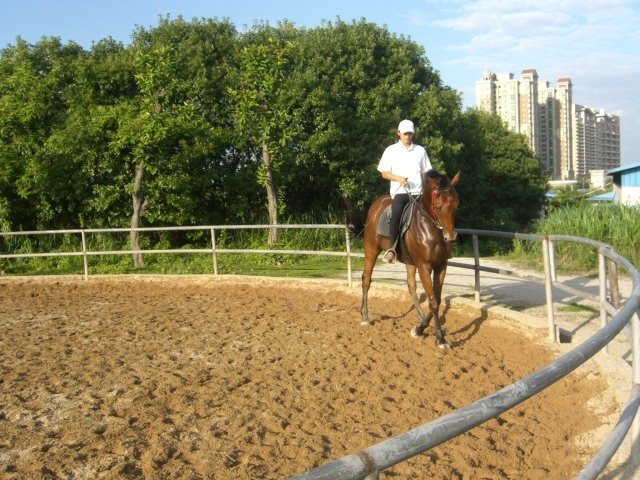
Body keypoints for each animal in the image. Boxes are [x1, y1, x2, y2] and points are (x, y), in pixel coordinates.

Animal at [360, 170, 460, 348]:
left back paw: (420, 316)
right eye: (438, 206)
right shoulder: (424, 266)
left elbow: (436, 299)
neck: (430, 229)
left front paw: (421, 327)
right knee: (366, 279)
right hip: (371, 250)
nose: (450, 237)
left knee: (411, 286)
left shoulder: (441, 266)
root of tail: (377, 204)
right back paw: (365, 317)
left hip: (409, 262)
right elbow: (433, 302)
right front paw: (439, 338)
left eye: (456, 204)